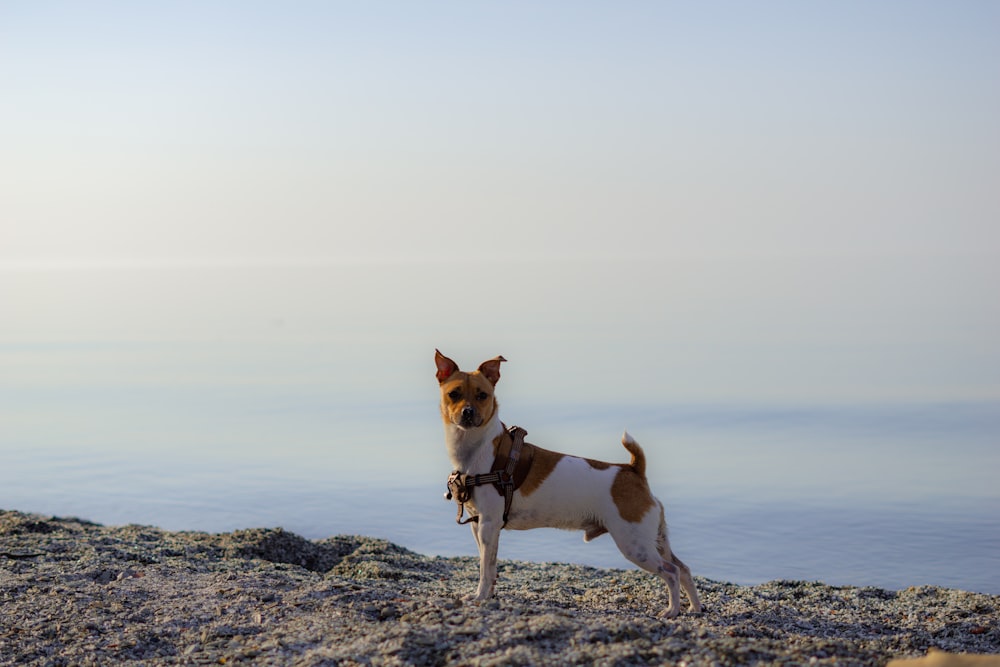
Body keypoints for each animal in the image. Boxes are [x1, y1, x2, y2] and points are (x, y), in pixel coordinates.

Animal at [432, 352, 704, 620]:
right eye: (454, 394)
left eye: (482, 395)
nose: (468, 412)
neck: (477, 450)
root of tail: (633, 470)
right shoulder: (478, 525)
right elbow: (488, 564)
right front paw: (487, 595)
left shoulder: (488, 524)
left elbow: (485, 569)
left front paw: (479, 597)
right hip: (656, 541)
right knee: (684, 569)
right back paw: (695, 608)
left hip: (635, 545)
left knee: (671, 572)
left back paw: (672, 610)